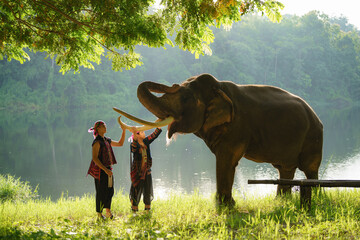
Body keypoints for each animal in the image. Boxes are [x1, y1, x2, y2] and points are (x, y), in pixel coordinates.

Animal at [113, 72, 324, 204]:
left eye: (185, 98)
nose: (173, 84)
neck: (219, 87)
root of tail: (317, 115)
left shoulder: (237, 126)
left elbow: (226, 159)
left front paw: (225, 206)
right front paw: (225, 204)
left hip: (313, 137)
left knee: (309, 168)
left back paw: (315, 197)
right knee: (285, 168)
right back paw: (281, 201)